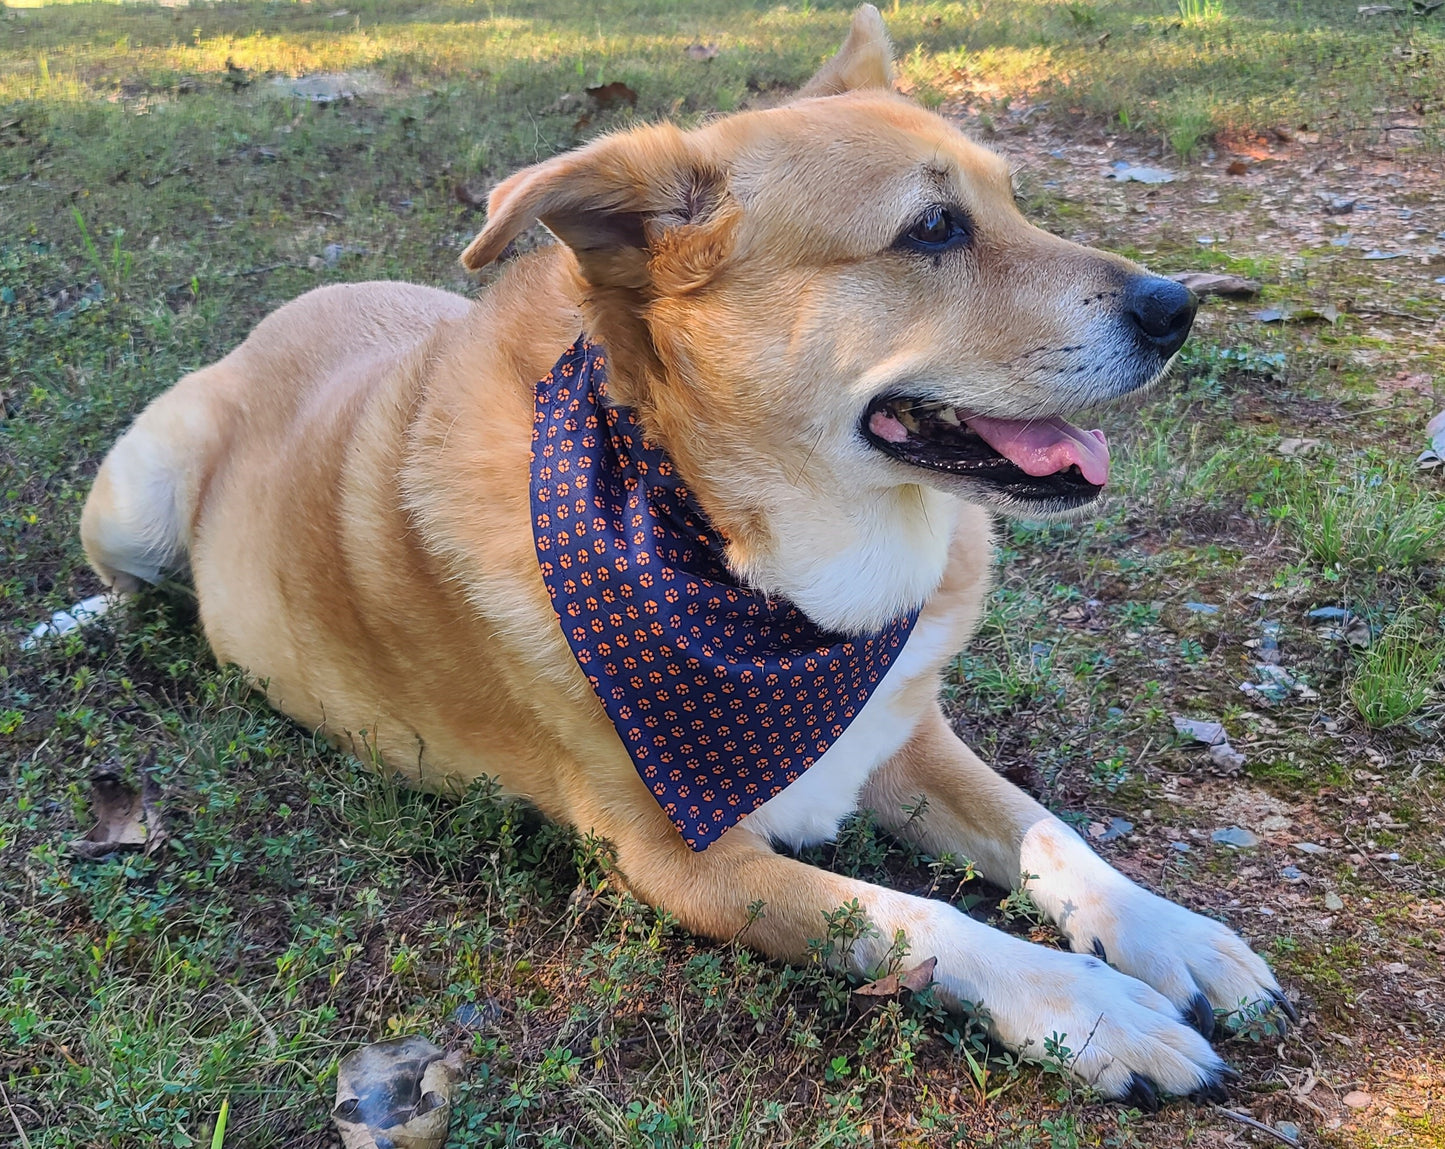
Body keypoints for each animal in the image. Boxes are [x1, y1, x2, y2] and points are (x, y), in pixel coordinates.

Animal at [84, 4, 1294, 1109]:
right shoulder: (683, 861)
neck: (757, 561)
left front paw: (1166, 932)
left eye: (1012, 200)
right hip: (133, 500)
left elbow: (1047, 831)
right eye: (930, 230)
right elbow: (916, 917)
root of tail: (295, 303)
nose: (1176, 307)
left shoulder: (904, 732)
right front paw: (1084, 1008)